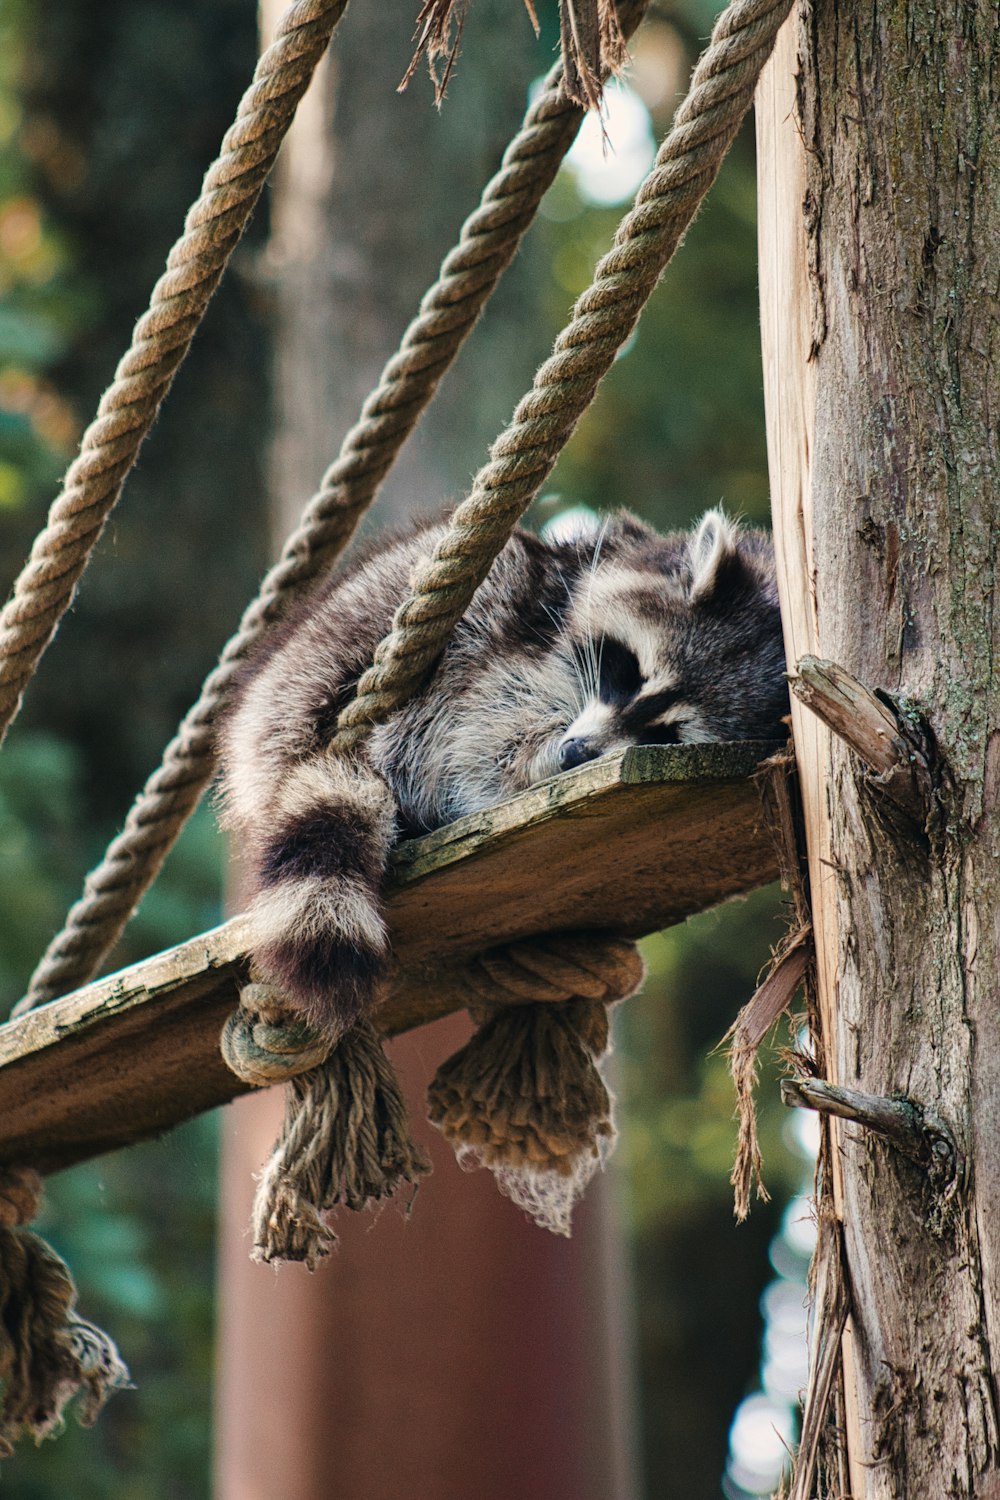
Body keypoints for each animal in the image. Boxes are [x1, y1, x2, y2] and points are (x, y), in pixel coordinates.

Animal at [218, 510, 791, 1038]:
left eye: (664, 735)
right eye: (630, 673)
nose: (576, 752)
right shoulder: (535, 619)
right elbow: (483, 730)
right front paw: (540, 751)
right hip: (319, 663)